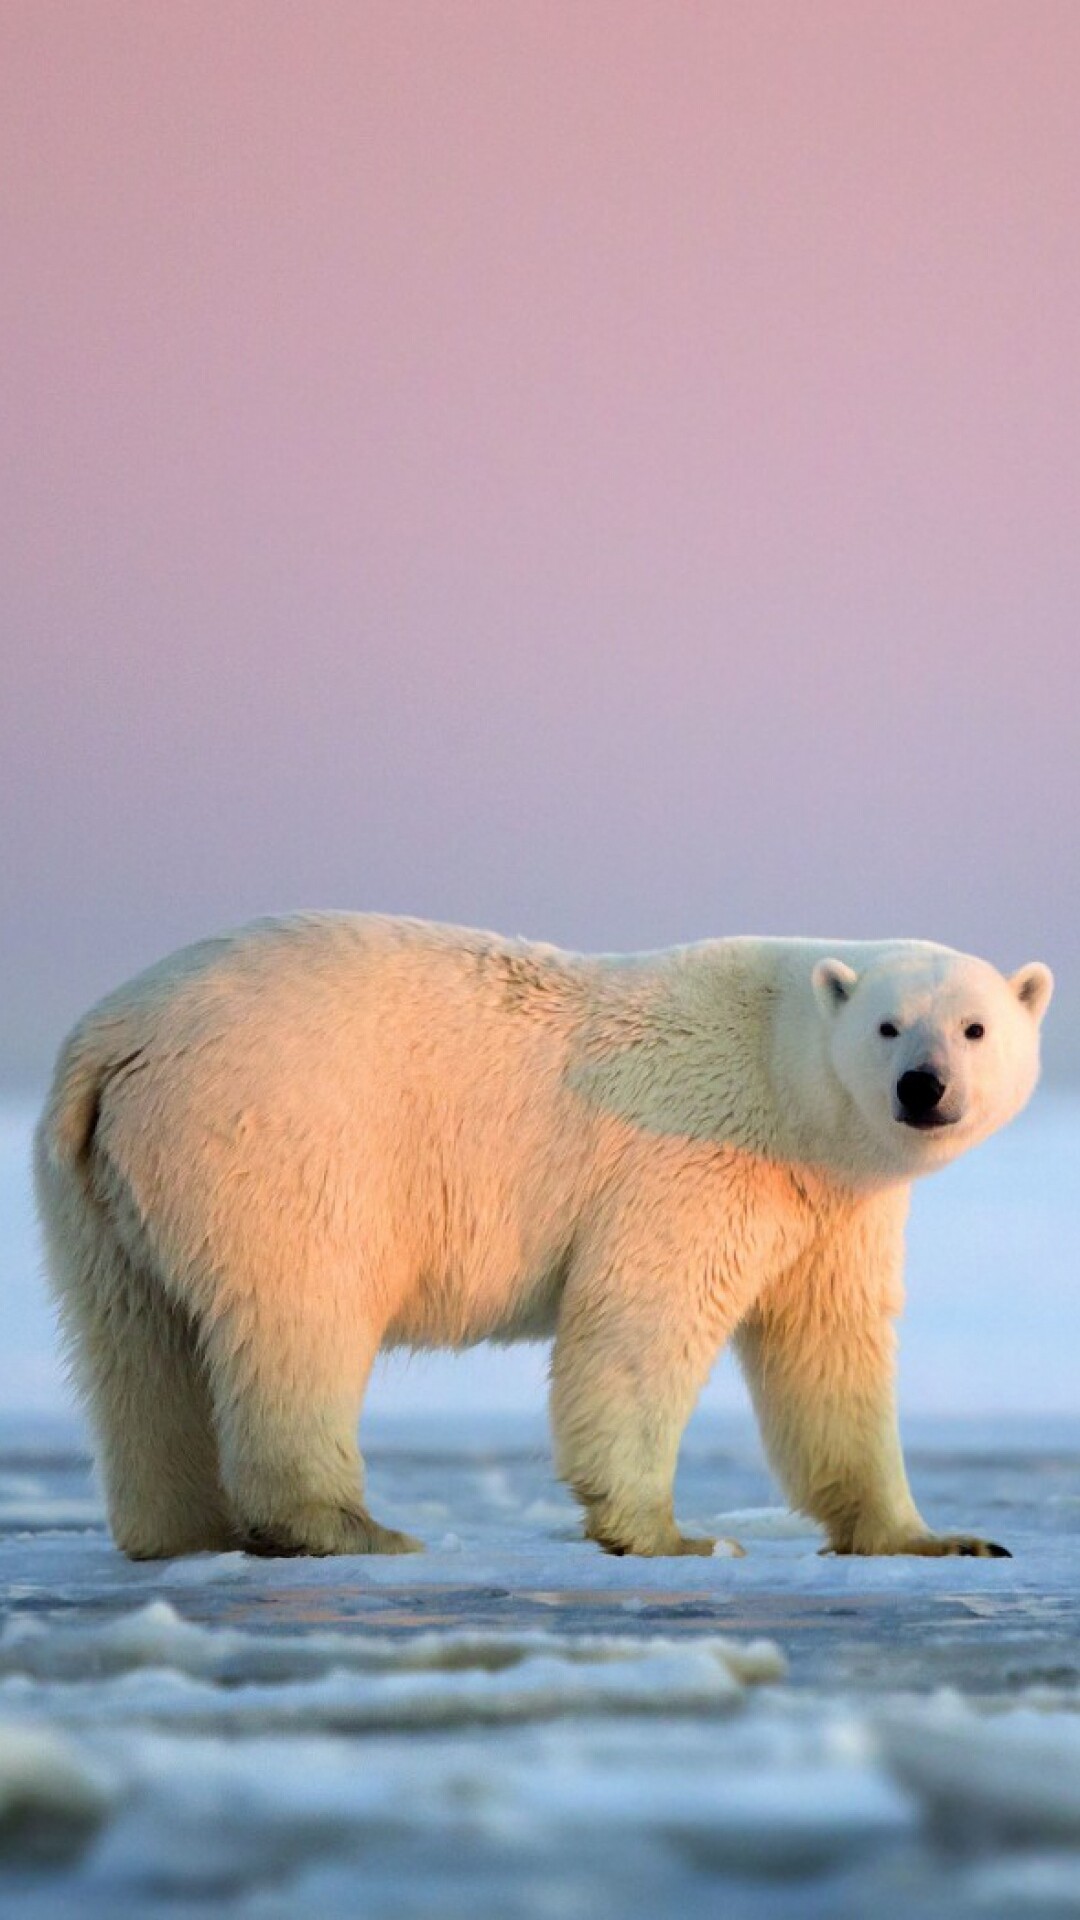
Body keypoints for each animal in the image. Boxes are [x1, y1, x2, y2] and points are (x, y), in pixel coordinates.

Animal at [34, 914, 1052, 1561]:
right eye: (887, 1025)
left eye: (975, 1026)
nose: (924, 1085)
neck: (780, 1069)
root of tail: (109, 1038)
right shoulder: (694, 1156)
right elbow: (640, 1323)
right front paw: (674, 1535)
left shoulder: (831, 1205)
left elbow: (830, 1351)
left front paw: (941, 1537)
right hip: (272, 1138)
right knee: (299, 1318)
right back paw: (348, 1526)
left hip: (96, 1187)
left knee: (135, 1347)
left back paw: (180, 1531)